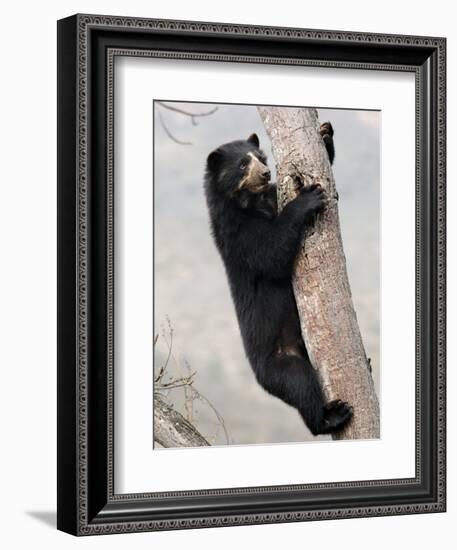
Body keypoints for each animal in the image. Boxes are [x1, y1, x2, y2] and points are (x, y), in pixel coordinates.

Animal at [204, 124, 352, 436]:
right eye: (242, 164)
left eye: (261, 157)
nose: (265, 173)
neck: (251, 202)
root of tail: (259, 377)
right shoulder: (239, 235)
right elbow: (272, 252)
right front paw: (308, 198)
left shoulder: (270, 197)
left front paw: (325, 135)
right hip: (281, 362)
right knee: (301, 385)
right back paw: (331, 417)